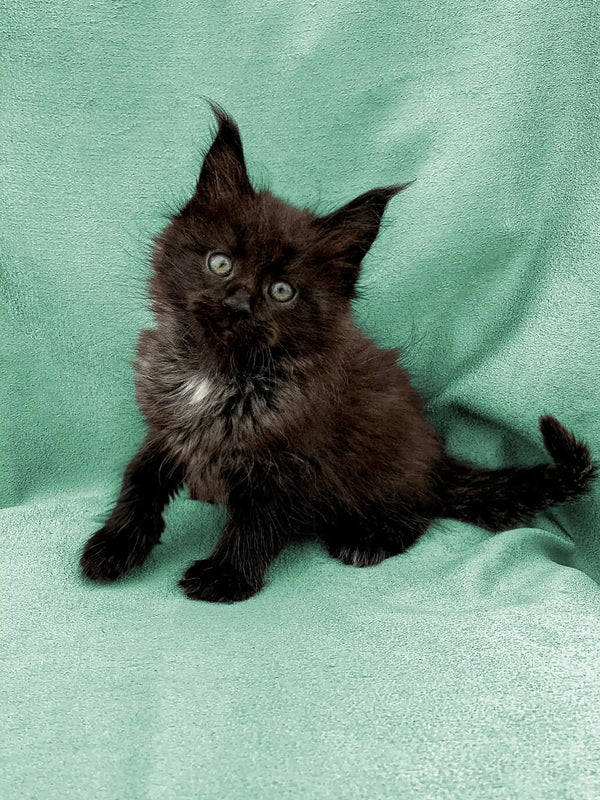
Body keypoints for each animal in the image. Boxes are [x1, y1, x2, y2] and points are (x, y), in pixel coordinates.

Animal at [79, 104, 596, 600]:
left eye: (282, 291)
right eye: (219, 263)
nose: (238, 304)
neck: (217, 372)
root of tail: (436, 460)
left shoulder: (289, 465)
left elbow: (254, 524)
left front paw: (226, 577)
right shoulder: (167, 428)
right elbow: (139, 480)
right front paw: (114, 546)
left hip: (382, 474)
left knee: (419, 511)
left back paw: (367, 540)